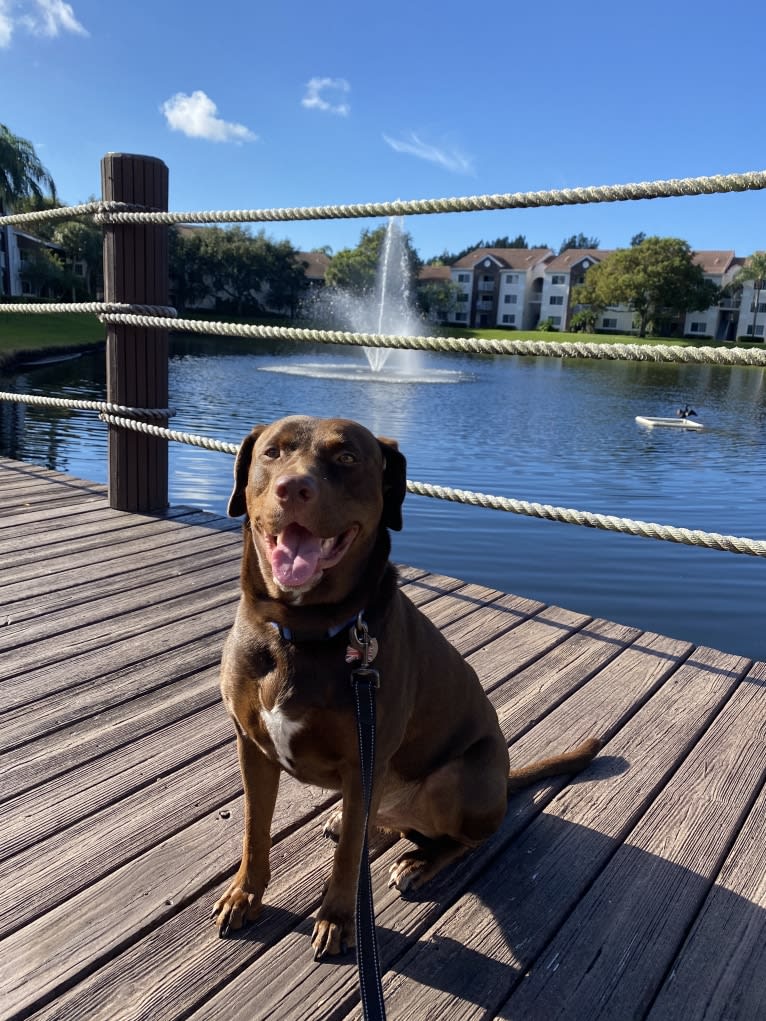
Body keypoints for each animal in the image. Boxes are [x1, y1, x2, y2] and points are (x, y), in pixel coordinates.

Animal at [213, 414, 604, 955]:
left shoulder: (365, 757)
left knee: (461, 840)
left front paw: (338, 919)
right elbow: (255, 831)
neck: (303, 631)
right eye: (272, 453)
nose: (294, 488)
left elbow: (347, 862)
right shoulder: (253, 747)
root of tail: (505, 783)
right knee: (380, 823)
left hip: (457, 778)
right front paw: (243, 896)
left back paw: (419, 863)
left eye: (347, 458)